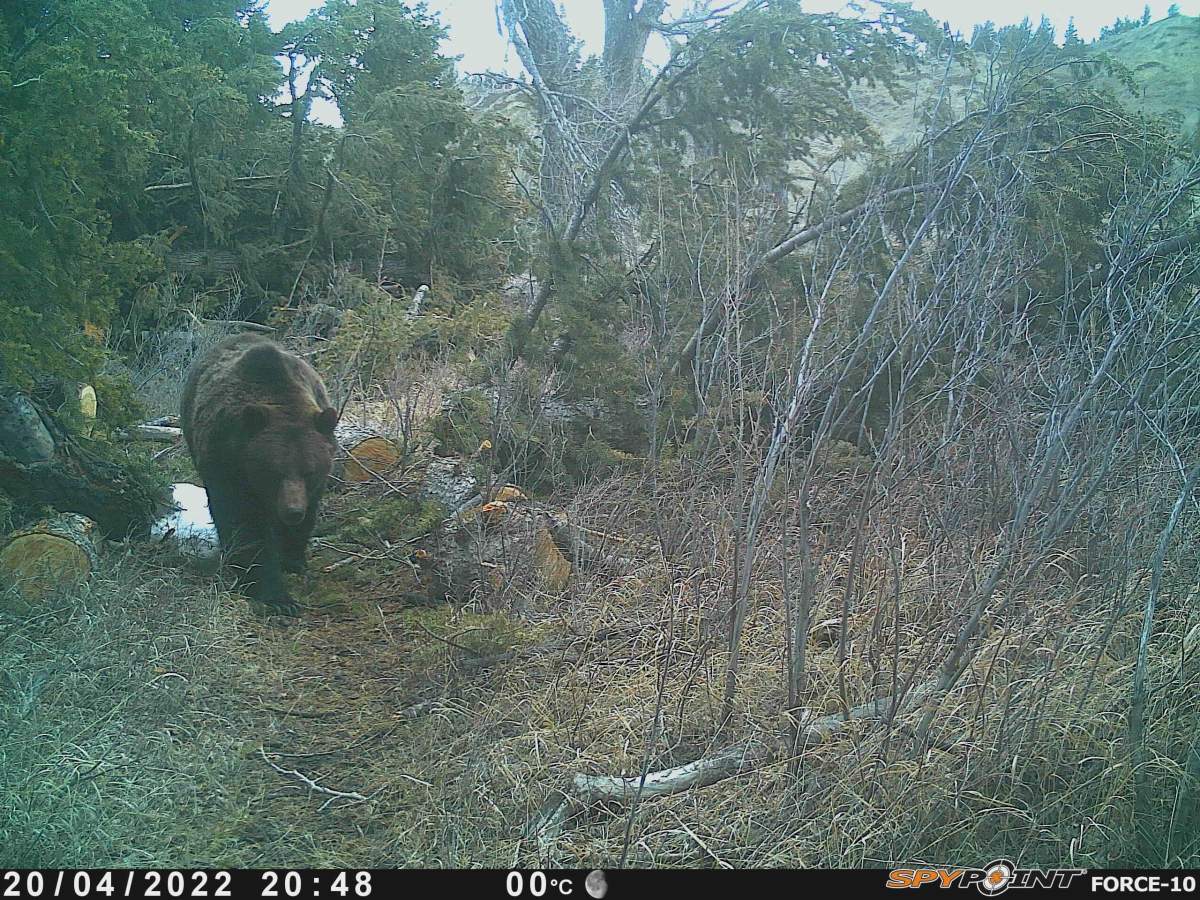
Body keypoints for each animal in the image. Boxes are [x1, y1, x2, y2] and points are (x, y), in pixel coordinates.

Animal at [180, 332, 339, 615]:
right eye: (274, 471)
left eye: (309, 471)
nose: (292, 511)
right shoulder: (228, 464)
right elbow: (245, 524)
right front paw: (276, 594)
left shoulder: (314, 485)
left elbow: (306, 518)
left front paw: (293, 560)